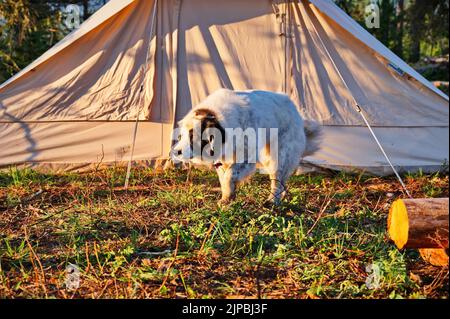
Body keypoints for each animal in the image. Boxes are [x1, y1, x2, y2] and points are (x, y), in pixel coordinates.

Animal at [171, 89, 320, 205]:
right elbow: (224, 179)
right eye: (181, 136)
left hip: (279, 156)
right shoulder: (222, 160)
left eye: (193, 136)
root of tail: (293, 107)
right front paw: (226, 198)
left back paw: (273, 200)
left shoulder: (246, 157)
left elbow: (229, 175)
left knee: (277, 180)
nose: (176, 151)